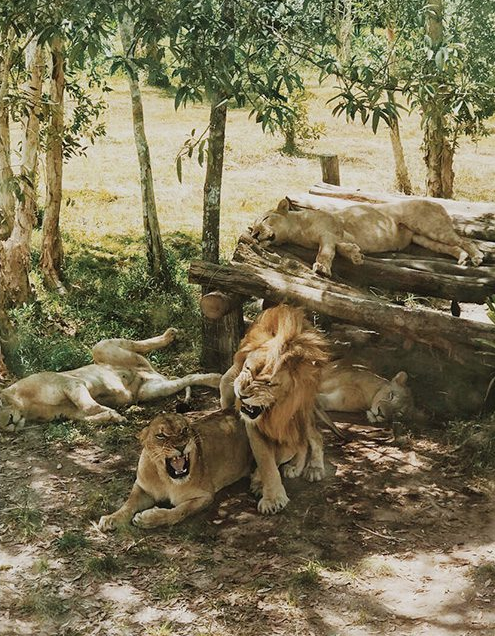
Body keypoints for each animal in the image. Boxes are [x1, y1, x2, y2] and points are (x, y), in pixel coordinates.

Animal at [0, 329, 221, 431]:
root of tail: (152, 371)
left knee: (141, 344)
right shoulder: (69, 414)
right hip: (155, 389)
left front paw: (113, 412)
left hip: (101, 347)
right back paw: (215, 379)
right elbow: (88, 418)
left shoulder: (71, 383)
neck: (26, 405)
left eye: (1, 405)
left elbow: (89, 405)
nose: (9, 423)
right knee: (187, 378)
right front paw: (113, 416)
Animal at [98, 410, 252, 530]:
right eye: (160, 435)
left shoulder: (205, 495)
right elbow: (128, 503)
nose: (181, 446)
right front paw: (111, 518)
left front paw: (147, 518)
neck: (167, 479)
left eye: (184, 430)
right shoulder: (142, 488)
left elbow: (179, 511)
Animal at [220, 304, 330, 515]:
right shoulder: (254, 426)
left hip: (305, 412)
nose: (243, 395)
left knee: (313, 437)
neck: (275, 409)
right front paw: (271, 496)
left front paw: (263, 487)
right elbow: (266, 461)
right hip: (225, 384)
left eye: (269, 383)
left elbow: (286, 449)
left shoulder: (295, 416)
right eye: (248, 368)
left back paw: (312, 467)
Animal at [250, 198, 484, 277]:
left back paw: (477, 256)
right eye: (252, 227)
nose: (254, 233)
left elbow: (325, 252)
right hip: (422, 238)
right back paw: (463, 258)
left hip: (430, 226)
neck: (296, 229)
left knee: (465, 240)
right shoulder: (337, 236)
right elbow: (342, 248)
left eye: (266, 218)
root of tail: (439, 204)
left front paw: (322, 268)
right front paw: (355, 254)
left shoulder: (329, 233)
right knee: (451, 246)